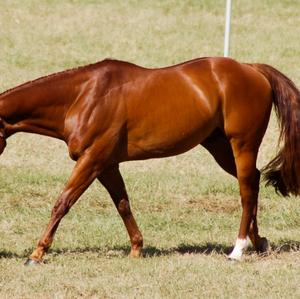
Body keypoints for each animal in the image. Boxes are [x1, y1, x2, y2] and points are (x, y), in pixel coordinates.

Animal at [0, 57, 298, 266]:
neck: (82, 97)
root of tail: (252, 69)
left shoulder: (92, 160)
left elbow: (62, 203)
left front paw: (36, 253)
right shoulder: (107, 165)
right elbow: (123, 204)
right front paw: (136, 248)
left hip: (242, 146)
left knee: (247, 190)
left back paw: (237, 250)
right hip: (220, 148)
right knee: (254, 182)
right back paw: (257, 242)